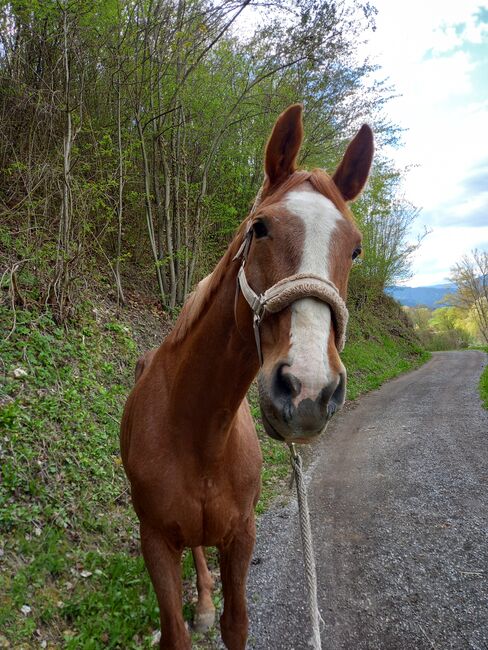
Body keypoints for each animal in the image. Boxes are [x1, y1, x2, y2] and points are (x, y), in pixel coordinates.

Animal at [120, 104, 372, 644]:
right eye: (260, 228)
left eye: (356, 249)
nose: (308, 390)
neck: (197, 432)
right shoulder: (155, 541)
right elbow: (175, 633)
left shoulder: (242, 535)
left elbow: (237, 625)